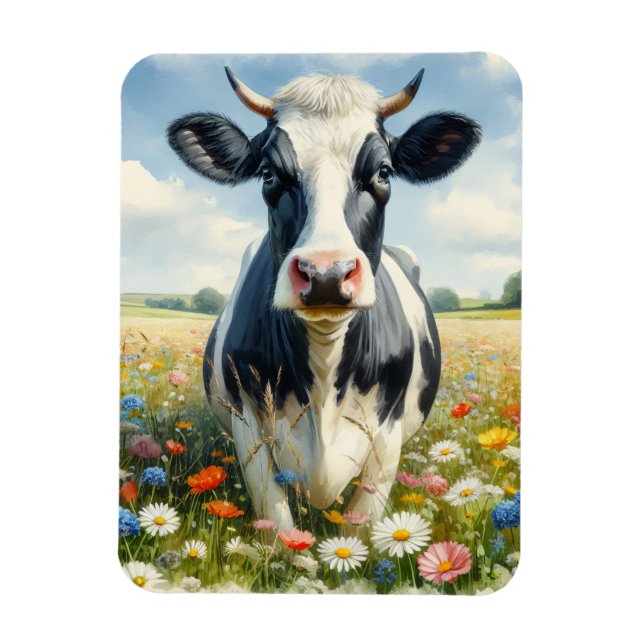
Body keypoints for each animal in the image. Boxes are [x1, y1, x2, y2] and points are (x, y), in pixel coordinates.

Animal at [167, 67, 480, 530]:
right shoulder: (248, 427)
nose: (326, 273)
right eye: (268, 173)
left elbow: (363, 528)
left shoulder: (386, 438)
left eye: (384, 171)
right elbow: (277, 525)